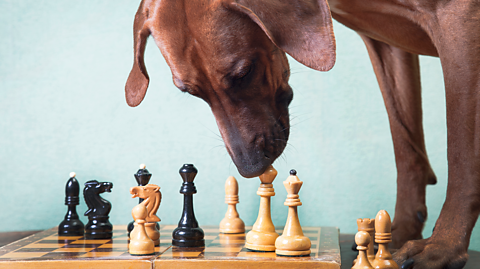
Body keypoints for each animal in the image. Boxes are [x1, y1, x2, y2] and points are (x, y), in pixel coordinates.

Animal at [124, 1, 480, 266]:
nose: (250, 169)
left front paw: (443, 246)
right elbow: (405, 145)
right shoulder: (385, 43)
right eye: (192, 93)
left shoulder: (460, 20)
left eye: (244, 72)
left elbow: (461, 153)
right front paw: (395, 234)